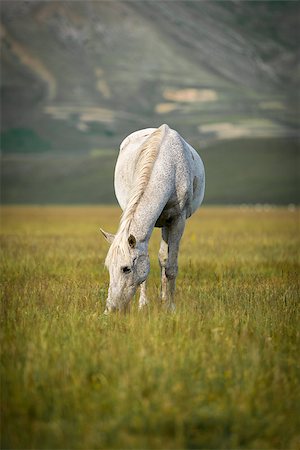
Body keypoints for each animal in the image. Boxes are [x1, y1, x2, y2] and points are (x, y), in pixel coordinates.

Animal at [99, 123, 205, 312]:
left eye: (126, 269)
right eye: (108, 267)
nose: (110, 309)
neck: (167, 167)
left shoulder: (177, 221)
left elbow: (171, 267)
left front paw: (171, 307)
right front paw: (143, 305)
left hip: (166, 225)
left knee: (164, 259)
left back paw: (164, 299)